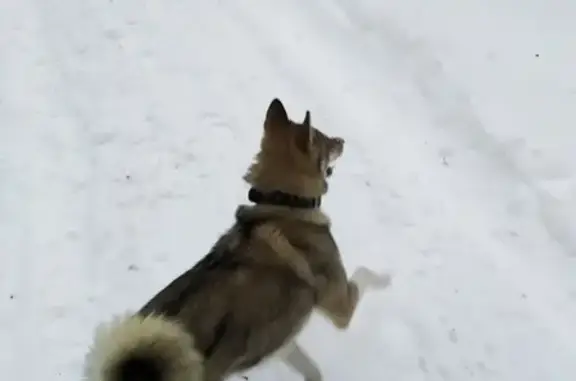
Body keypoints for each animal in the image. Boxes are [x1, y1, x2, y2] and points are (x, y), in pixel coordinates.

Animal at [82, 97, 392, 380]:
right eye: (325, 140)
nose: (342, 140)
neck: (284, 203)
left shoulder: (280, 340)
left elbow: (311, 370)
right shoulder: (341, 306)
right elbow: (365, 274)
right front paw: (387, 277)